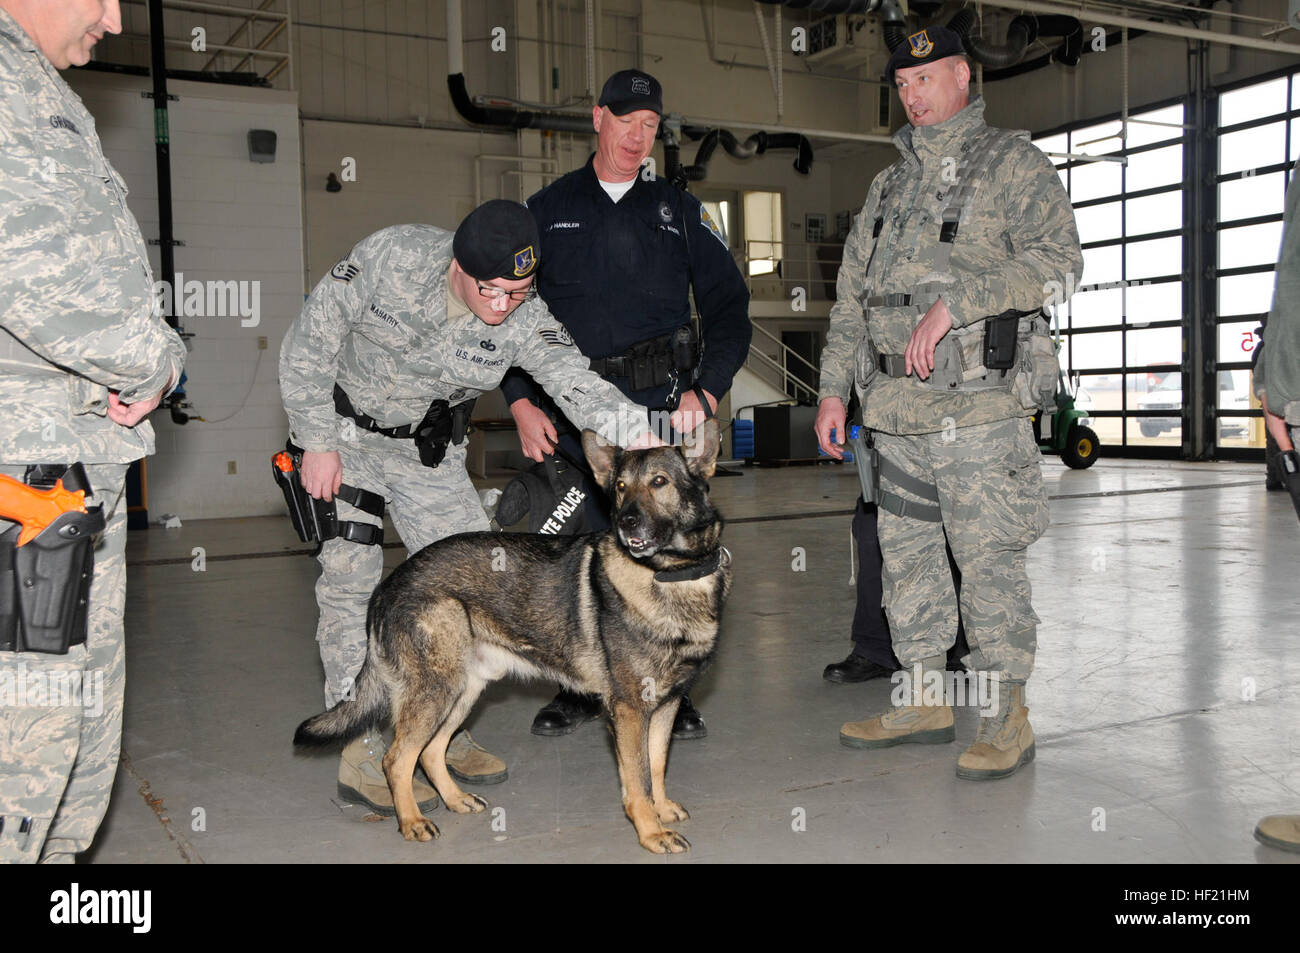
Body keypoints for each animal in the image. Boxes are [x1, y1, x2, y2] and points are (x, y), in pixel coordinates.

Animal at [296, 421, 738, 852]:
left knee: (432, 751)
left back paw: (456, 800)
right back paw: (412, 822)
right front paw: (650, 832)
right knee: (398, 758)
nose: (626, 522)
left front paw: (662, 811)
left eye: (659, 482)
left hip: (462, 690)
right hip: (436, 691)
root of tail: (388, 585)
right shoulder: (630, 710)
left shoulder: (665, 706)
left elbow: (658, 764)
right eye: (620, 487)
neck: (671, 576)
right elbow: (639, 779)